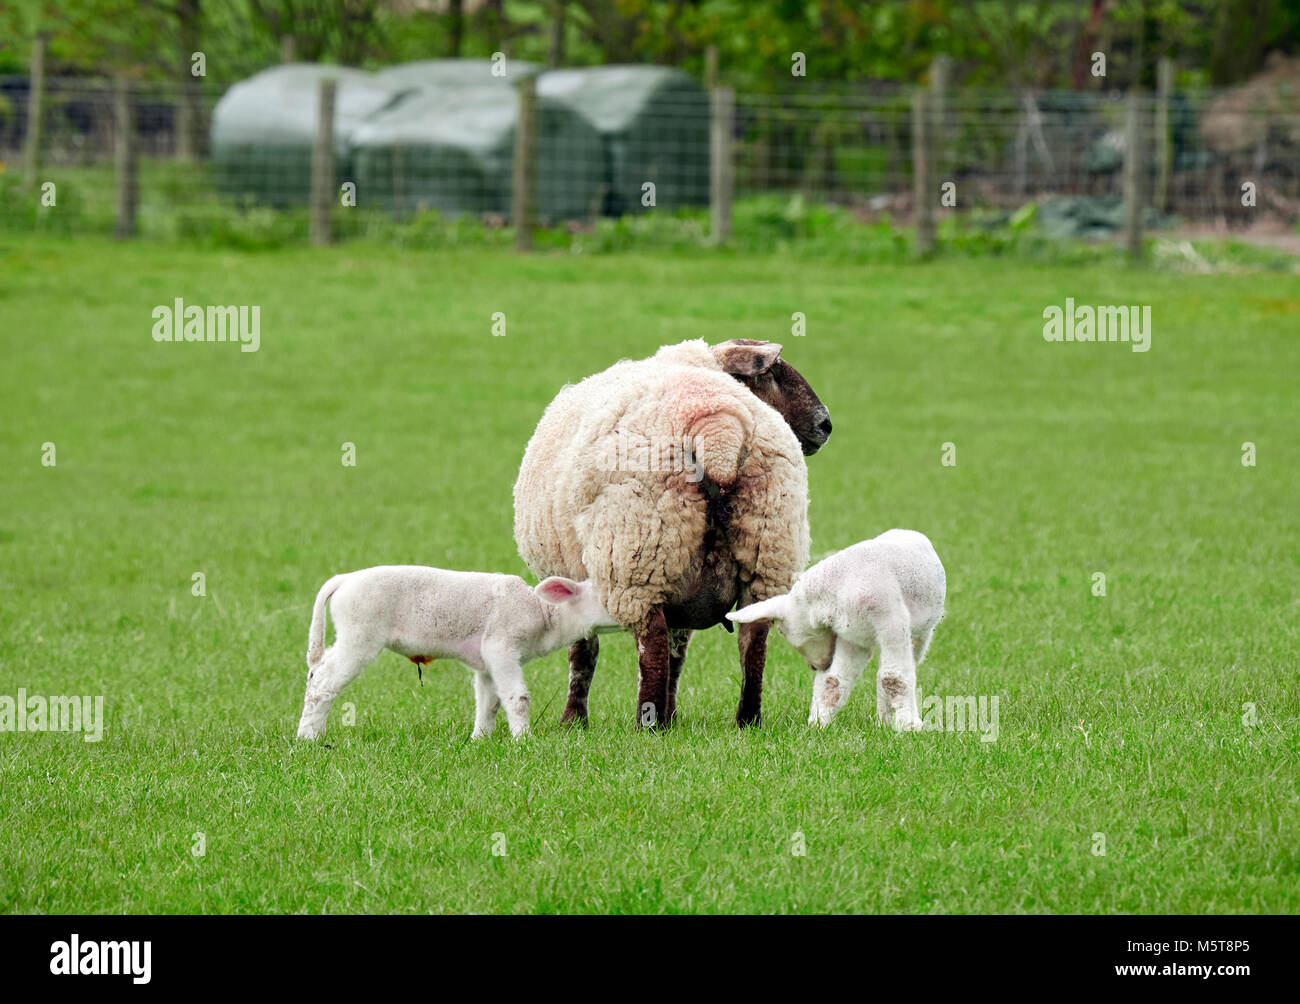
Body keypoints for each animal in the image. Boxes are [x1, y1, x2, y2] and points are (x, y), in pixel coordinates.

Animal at [295, 567, 617, 741]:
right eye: (604, 595)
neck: (544, 612)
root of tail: (344, 579)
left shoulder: (487, 662)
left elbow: (488, 703)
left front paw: (479, 740)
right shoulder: (500, 646)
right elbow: (518, 698)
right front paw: (523, 741)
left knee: (316, 672)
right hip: (360, 635)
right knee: (323, 683)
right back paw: (309, 738)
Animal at [513, 338, 832, 729]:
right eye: (772, 371)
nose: (825, 424)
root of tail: (719, 429)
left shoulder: (573, 572)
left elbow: (584, 652)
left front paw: (573, 721)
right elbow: (678, 651)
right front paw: (672, 714)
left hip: (639, 554)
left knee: (652, 645)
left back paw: (648, 725)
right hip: (764, 548)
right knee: (752, 639)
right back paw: (746, 720)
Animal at [727, 529, 945, 731]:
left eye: (784, 632)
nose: (815, 667)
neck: (836, 591)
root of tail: (907, 531)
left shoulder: (892, 623)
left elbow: (893, 678)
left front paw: (908, 726)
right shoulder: (853, 638)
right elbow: (835, 681)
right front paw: (818, 724)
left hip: (920, 633)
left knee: (908, 667)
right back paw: (883, 721)